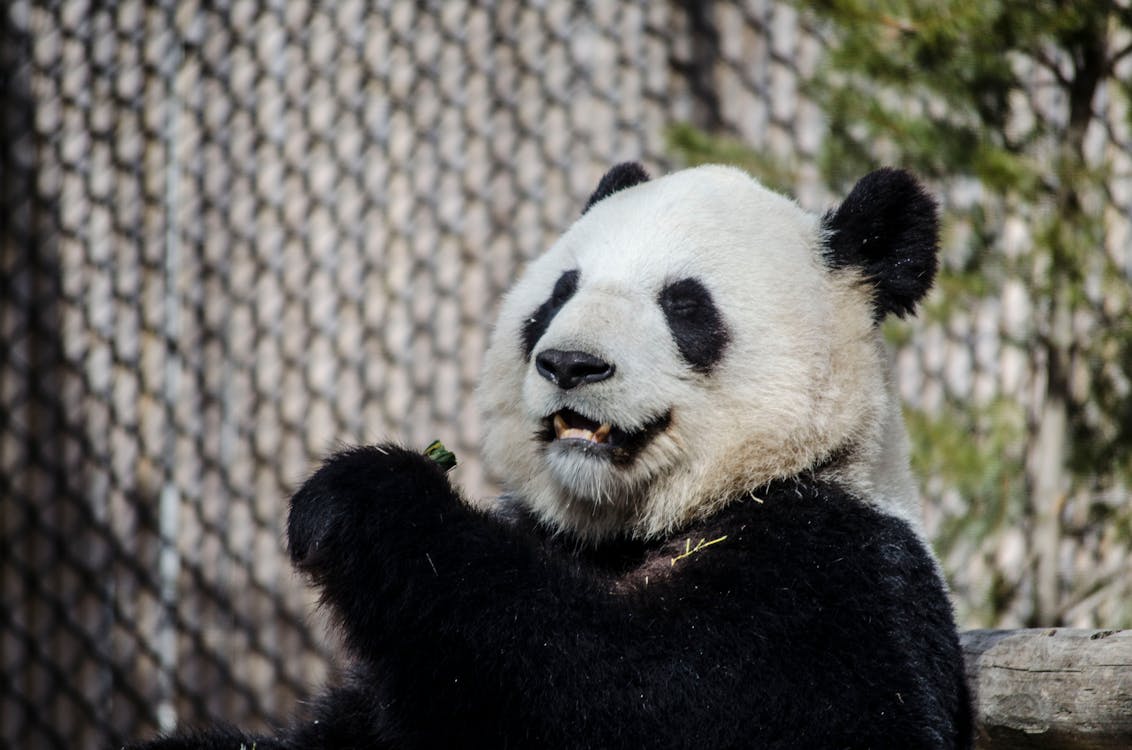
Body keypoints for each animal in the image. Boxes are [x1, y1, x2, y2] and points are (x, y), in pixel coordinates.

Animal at [128, 164, 968, 750]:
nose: (571, 364)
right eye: (558, 293)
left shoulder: (832, 580)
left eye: (684, 305)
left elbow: (621, 693)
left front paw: (362, 500)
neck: (639, 525)